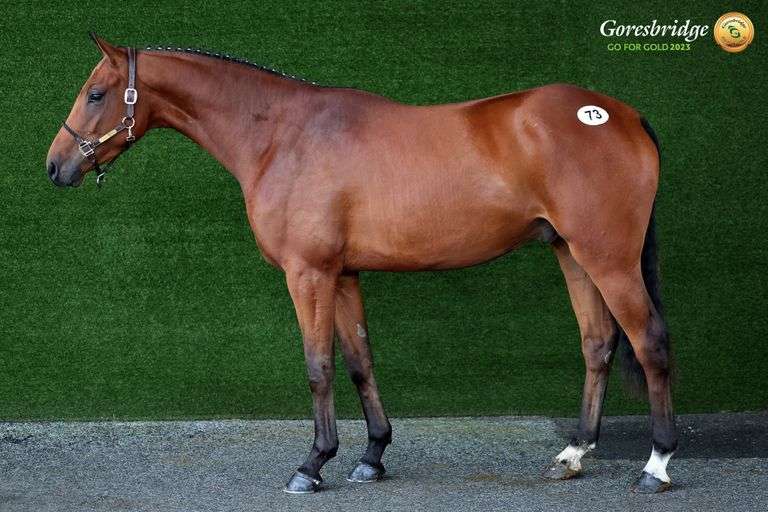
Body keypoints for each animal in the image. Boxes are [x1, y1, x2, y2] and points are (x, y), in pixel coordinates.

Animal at [46, 34, 677, 494]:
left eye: (96, 93)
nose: (56, 166)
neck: (282, 136)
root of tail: (623, 115)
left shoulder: (308, 274)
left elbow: (319, 366)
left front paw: (311, 465)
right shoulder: (343, 274)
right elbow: (358, 362)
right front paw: (372, 456)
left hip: (608, 258)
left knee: (648, 341)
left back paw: (657, 464)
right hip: (571, 253)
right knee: (598, 344)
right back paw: (573, 454)